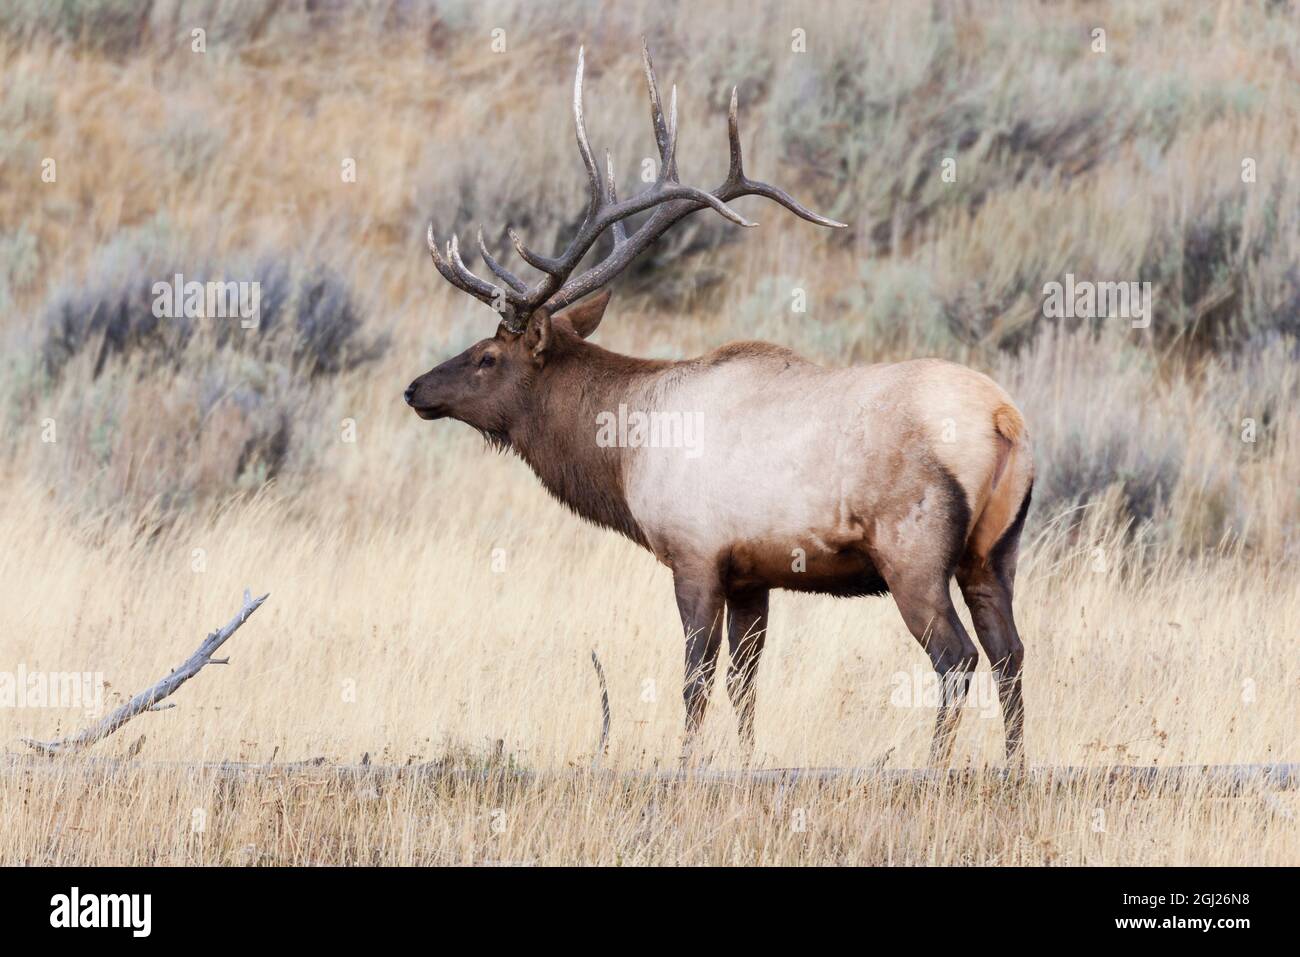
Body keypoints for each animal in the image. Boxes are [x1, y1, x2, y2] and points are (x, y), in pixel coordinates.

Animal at [405, 44, 1034, 767]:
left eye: (487, 356)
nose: (415, 389)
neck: (625, 450)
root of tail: (1004, 420)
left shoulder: (695, 555)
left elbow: (696, 680)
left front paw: (686, 764)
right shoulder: (752, 574)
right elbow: (745, 684)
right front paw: (745, 760)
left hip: (914, 552)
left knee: (956, 658)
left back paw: (934, 766)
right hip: (994, 552)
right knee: (1011, 654)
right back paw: (1014, 768)